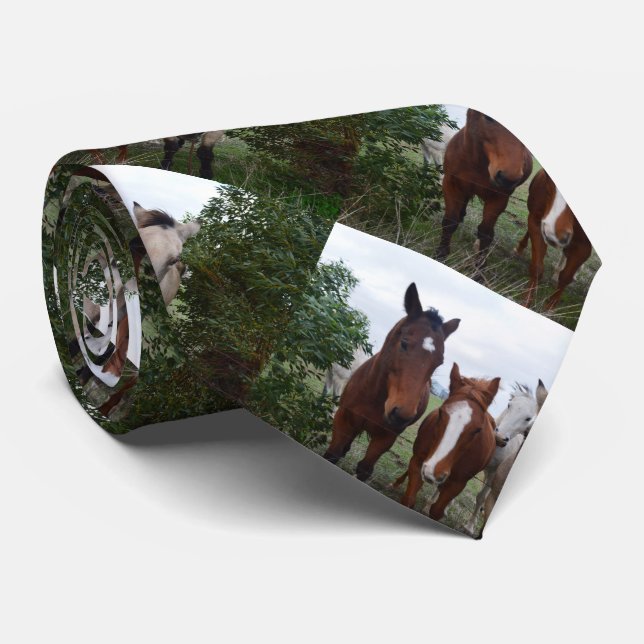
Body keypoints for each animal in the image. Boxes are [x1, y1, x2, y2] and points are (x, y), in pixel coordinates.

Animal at [323, 283, 460, 481]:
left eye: (439, 362)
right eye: (404, 343)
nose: (401, 414)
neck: (373, 398)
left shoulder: (386, 438)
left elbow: (364, 469)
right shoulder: (344, 418)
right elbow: (333, 453)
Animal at [394, 363, 500, 522]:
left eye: (478, 430)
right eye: (440, 413)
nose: (433, 472)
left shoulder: (457, 483)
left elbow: (437, 511)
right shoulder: (418, 462)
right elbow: (408, 499)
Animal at [437, 109, 533, 260]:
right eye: (488, 117)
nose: (508, 179)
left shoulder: (499, 198)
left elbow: (486, 234)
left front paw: (480, 266)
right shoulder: (450, 184)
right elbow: (449, 222)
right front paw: (441, 254)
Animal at [462, 380, 548, 536]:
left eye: (528, 418)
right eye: (509, 405)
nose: (499, 436)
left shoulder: (493, 474)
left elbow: (481, 497)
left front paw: (469, 526)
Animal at [515, 169, 593, 309]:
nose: (554, 233)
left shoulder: (584, 246)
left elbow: (566, 277)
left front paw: (549, 308)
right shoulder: (536, 223)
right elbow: (537, 267)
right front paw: (526, 302)